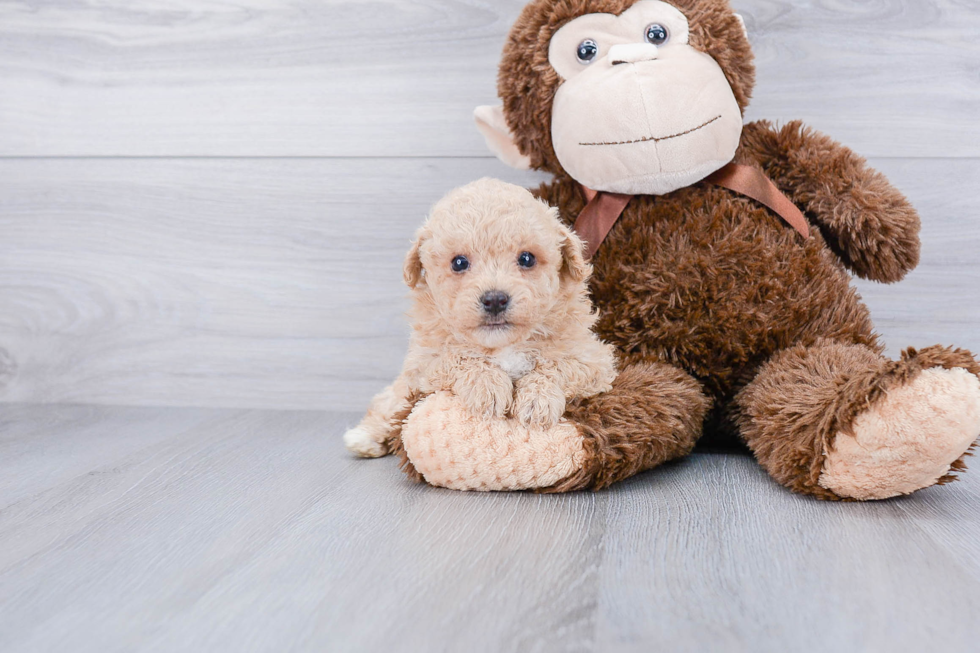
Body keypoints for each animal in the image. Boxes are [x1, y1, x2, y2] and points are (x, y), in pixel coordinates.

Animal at [344, 176, 616, 456]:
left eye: (526, 258)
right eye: (459, 263)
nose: (495, 299)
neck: (502, 345)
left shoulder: (593, 359)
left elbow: (557, 365)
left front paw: (536, 401)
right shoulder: (424, 361)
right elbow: (460, 357)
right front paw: (488, 387)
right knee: (389, 402)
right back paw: (365, 436)